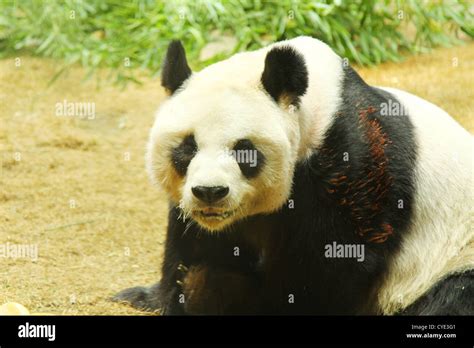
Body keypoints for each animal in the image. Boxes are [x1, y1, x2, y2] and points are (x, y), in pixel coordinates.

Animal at [113, 36, 472, 316]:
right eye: (187, 148)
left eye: (244, 151)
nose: (210, 192)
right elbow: (191, 240)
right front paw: (159, 295)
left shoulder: (353, 163)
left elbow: (333, 261)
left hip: (451, 257)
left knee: (452, 296)